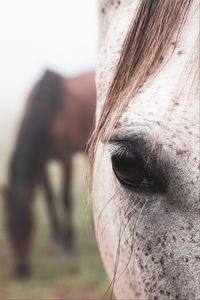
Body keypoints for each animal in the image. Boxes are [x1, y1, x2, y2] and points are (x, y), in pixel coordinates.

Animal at [2, 69, 96, 276]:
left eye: (31, 224)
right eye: (8, 226)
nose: (22, 270)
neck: (48, 110)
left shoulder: (66, 159)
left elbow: (65, 197)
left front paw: (68, 242)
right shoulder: (42, 163)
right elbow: (49, 197)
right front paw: (58, 238)